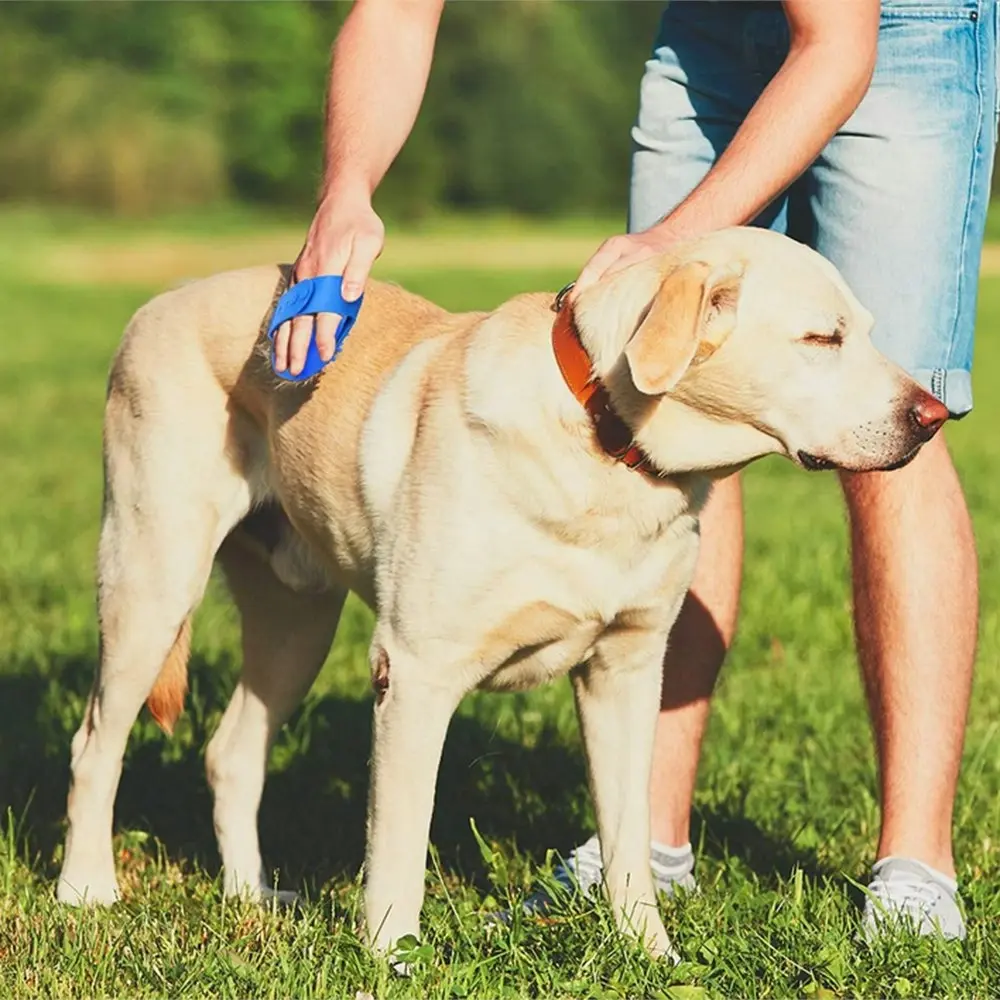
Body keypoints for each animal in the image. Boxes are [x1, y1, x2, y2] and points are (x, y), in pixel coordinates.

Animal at [56, 229, 944, 960]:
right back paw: (87, 889)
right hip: (151, 576)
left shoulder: (627, 674)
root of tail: (160, 301)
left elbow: (628, 841)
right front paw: (393, 959)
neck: (608, 449)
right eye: (822, 338)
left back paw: (252, 897)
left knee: (231, 751)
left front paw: (653, 957)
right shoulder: (414, 674)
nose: (934, 416)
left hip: (295, 622)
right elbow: (400, 839)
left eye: (866, 330)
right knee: (95, 742)